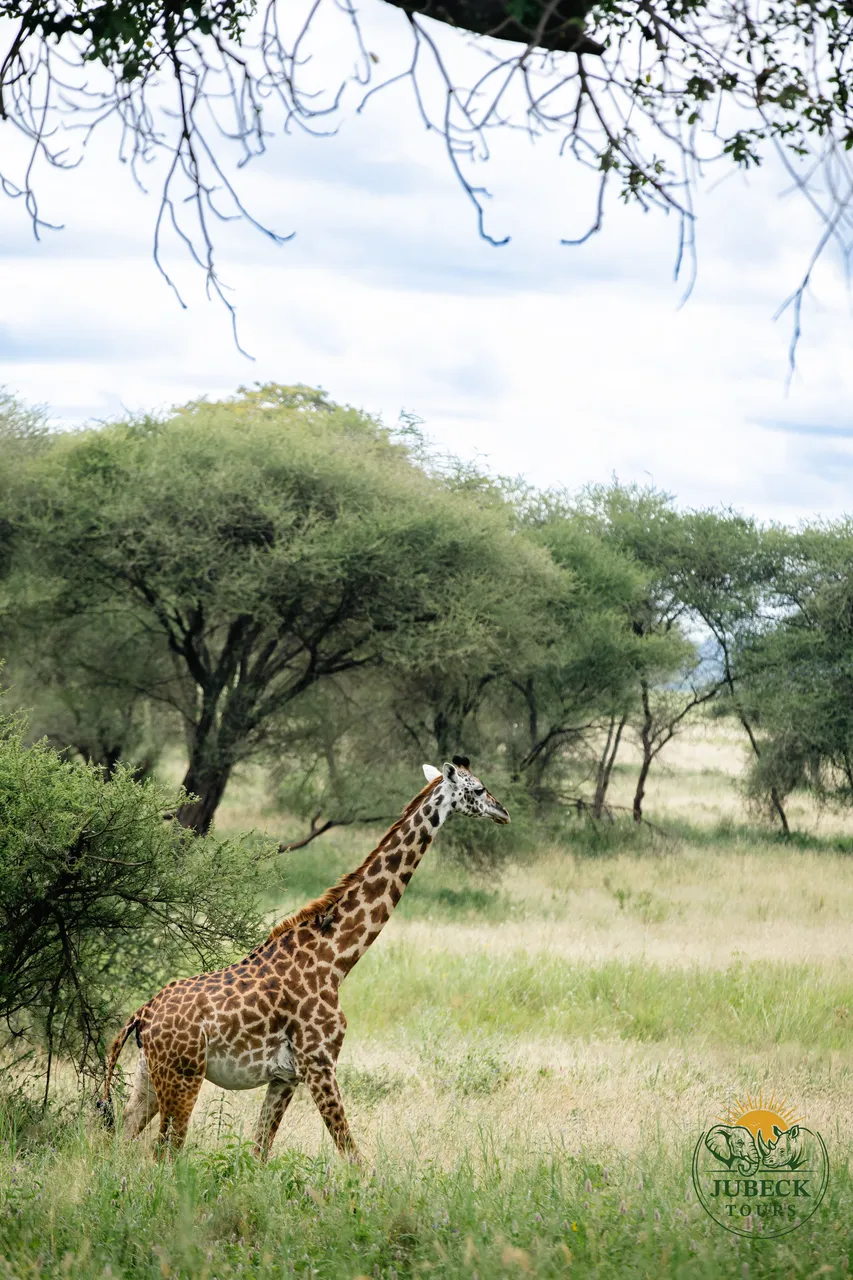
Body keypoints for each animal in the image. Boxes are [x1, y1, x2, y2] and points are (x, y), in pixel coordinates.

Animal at [99, 756, 510, 1161]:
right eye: (477, 789)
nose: (503, 812)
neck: (336, 958)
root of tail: (142, 1015)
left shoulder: (286, 1076)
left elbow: (259, 1153)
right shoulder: (319, 1062)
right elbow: (352, 1155)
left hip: (149, 1077)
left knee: (123, 1139)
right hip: (183, 1076)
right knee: (164, 1153)